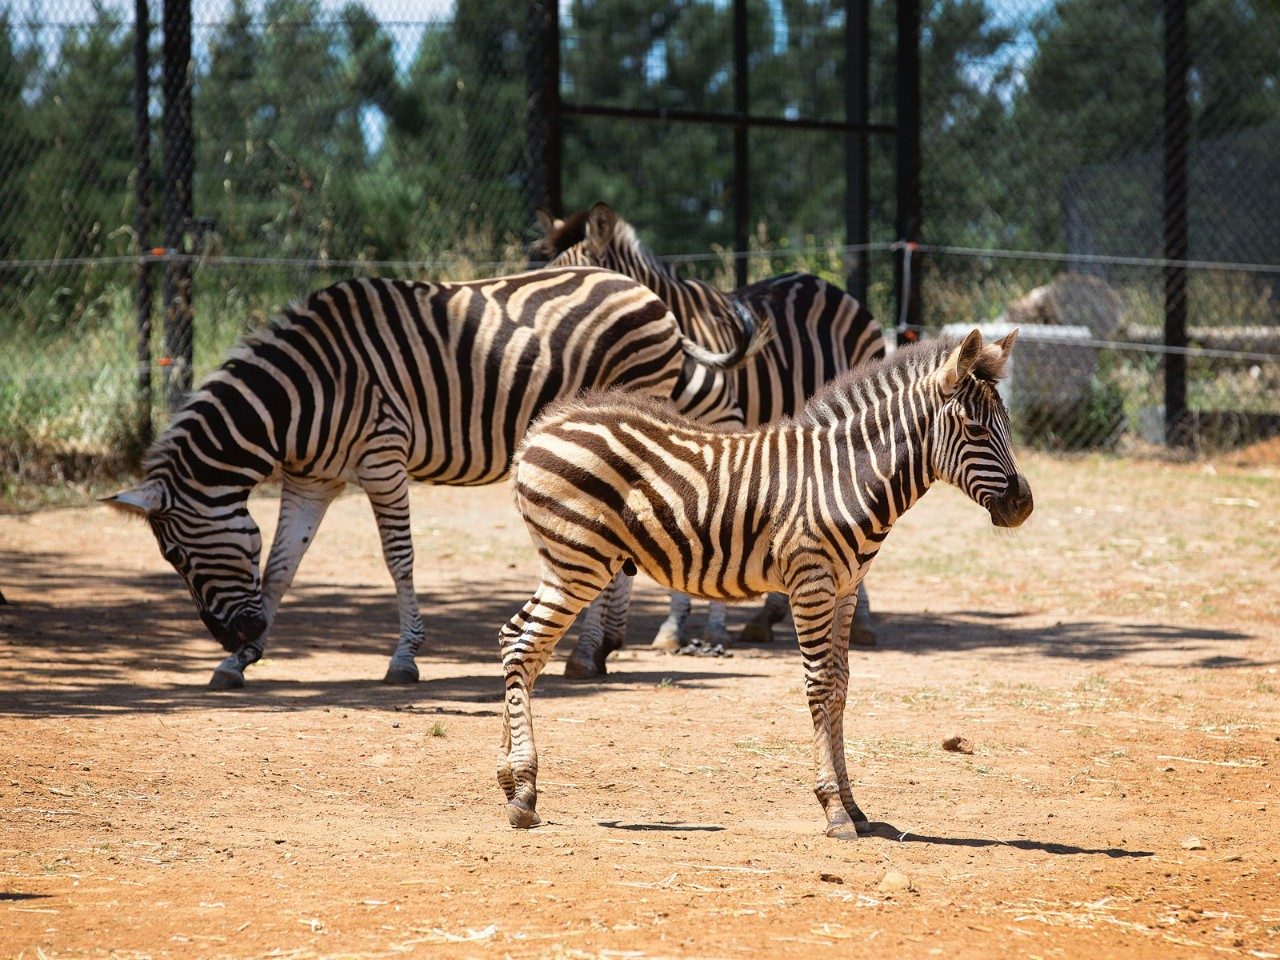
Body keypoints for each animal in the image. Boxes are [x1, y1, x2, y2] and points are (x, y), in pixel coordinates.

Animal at [102, 268, 757, 691]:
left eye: (177, 557)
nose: (228, 635)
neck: (298, 396)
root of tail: (650, 295)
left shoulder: (383, 458)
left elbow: (399, 558)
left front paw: (404, 657)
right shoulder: (312, 480)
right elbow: (282, 565)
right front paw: (240, 662)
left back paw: (593, 649)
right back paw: (594, 652)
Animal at [496, 332, 1029, 839]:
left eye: (1006, 424)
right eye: (976, 429)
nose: (1023, 506)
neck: (849, 475)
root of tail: (542, 428)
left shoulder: (846, 589)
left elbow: (841, 684)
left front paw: (855, 808)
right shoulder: (811, 581)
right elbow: (819, 685)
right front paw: (834, 810)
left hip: (568, 565)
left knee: (517, 641)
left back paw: (512, 782)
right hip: (578, 563)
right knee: (524, 646)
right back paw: (524, 794)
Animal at [529, 200, 880, 675]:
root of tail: (818, 280)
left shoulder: (725, 430)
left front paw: (712, 631)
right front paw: (674, 629)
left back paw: (861, 622)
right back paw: (767, 616)